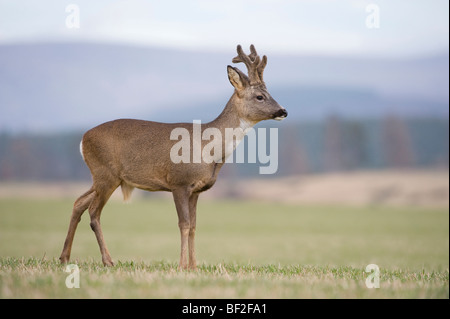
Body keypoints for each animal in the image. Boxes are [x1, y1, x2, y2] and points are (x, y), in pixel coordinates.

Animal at [59, 44, 288, 270]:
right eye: (260, 96)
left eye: (269, 92)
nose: (283, 111)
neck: (210, 151)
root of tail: (83, 139)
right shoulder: (179, 182)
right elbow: (183, 224)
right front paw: (181, 265)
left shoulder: (196, 190)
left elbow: (194, 226)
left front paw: (193, 266)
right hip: (106, 174)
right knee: (93, 212)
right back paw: (107, 260)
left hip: (102, 177)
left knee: (78, 203)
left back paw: (64, 257)